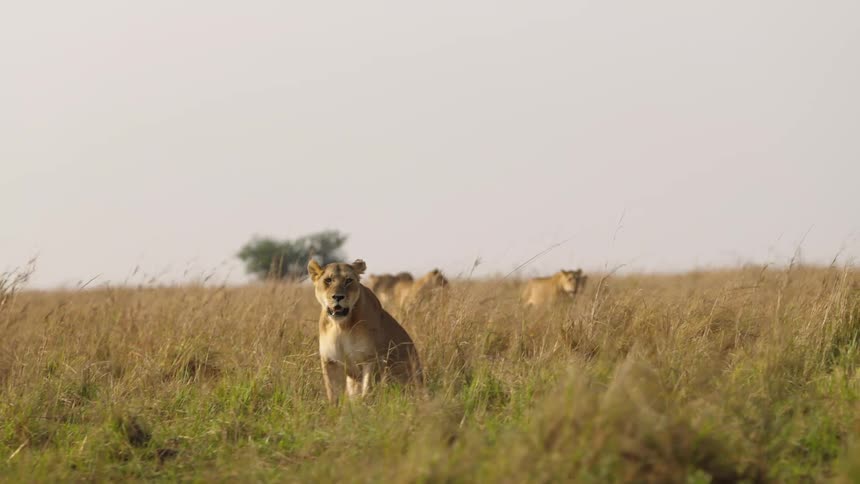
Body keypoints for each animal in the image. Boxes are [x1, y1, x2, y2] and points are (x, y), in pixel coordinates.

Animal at [308, 258, 422, 402]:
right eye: (328, 280)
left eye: (348, 280)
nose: (338, 297)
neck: (341, 326)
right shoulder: (330, 361)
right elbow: (333, 395)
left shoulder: (370, 358)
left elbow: (367, 391)